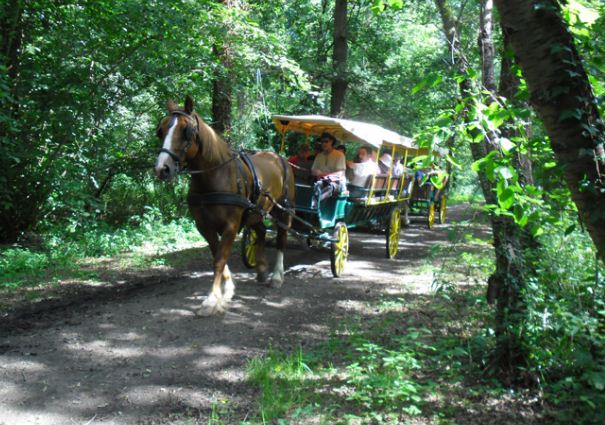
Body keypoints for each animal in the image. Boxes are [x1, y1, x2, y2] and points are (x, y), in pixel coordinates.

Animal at [153, 96, 294, 314]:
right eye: (160, 130)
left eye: (187, 131)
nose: (162, 169)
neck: (215, 176)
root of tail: (279, 158)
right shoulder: (204, 226)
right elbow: (216, 254)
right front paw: (227, 290)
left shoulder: (231, 226)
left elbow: (220, 259)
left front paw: (212, 300)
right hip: (256, 211)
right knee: (261, 232)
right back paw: (262, 270)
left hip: (283, 210)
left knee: (281, 238)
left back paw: (277, 276)